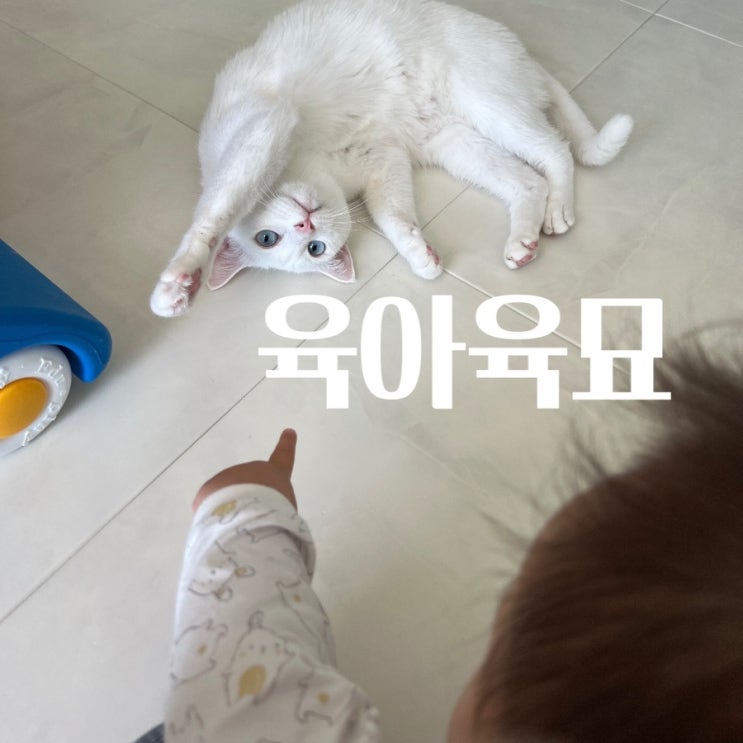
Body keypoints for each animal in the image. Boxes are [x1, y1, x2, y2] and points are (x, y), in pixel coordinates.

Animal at [150, 0, 633, 318]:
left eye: (267, 238)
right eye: (312, 249)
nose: (306, 224)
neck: (315, 164)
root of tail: (523, 55)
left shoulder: (263, 130)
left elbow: (216, 211)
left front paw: (179, 283)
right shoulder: (386, 159)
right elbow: (393, 217)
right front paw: (422, 258)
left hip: (489, 105)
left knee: (556, 149)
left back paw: (558, 211)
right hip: (454, 145)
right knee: (527, 181)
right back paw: (523, 244)